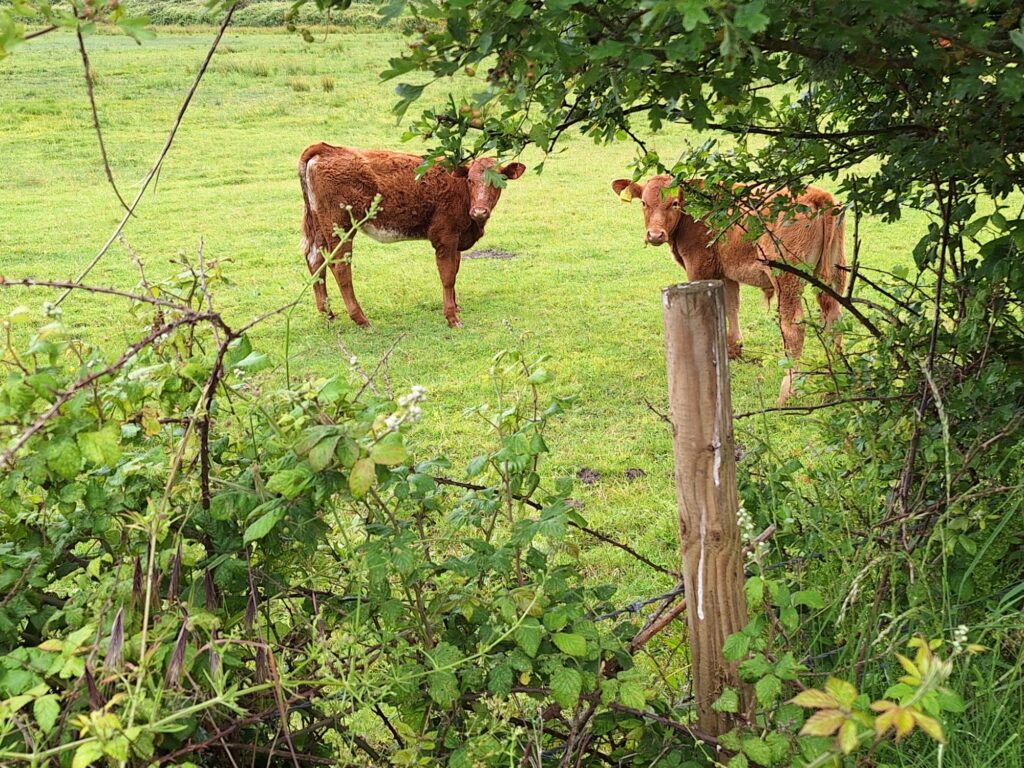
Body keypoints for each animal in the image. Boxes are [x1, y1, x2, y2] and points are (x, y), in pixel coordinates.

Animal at [299, 144, 526, 328]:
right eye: (470, 180)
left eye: (500, 181)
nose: (479, 211)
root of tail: (328, 149)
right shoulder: (445, 237)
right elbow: (448, 276)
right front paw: (452, 318)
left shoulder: (457, 238)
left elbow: (456, 270)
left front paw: (455, 306)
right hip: (340, 227)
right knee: (340, 268)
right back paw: (361, 319)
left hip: (319, 226)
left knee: (316, 261)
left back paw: (328, 315)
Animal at [611, 175, 846, 404]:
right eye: (644, 203)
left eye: (675, 203)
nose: (655, 235)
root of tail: (818, 196)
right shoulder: (728, 272)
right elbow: (732, 306)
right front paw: (734, 349)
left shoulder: (699, 268)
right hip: (835, 273)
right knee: (835, 318)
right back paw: (834, 382)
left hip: (786, 279)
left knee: (793, 328)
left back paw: (787, 393)